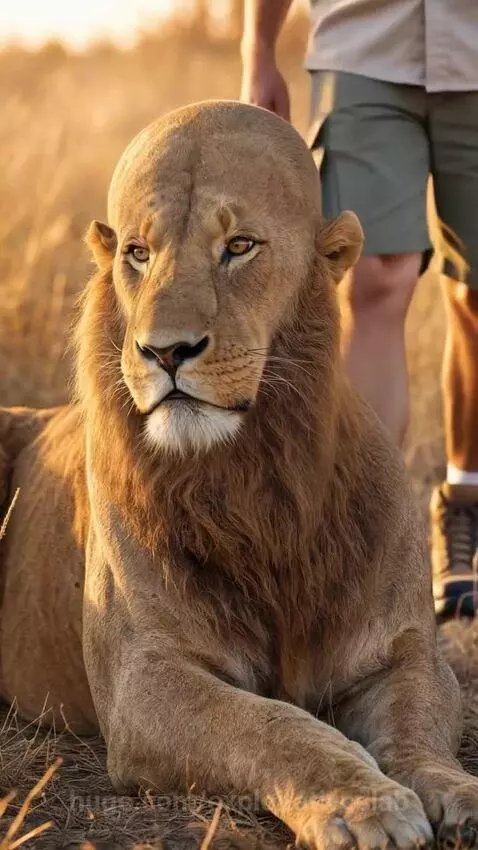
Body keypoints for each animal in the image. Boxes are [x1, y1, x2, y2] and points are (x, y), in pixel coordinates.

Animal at [1, 100, 478, 849]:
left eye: (240, 246)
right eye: (138, 254)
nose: (166, 352)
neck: (253, 486)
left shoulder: (402, 653)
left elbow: (417, 733)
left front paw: (455, 792)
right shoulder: (145, 682)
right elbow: (273, 726)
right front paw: (364, 802)